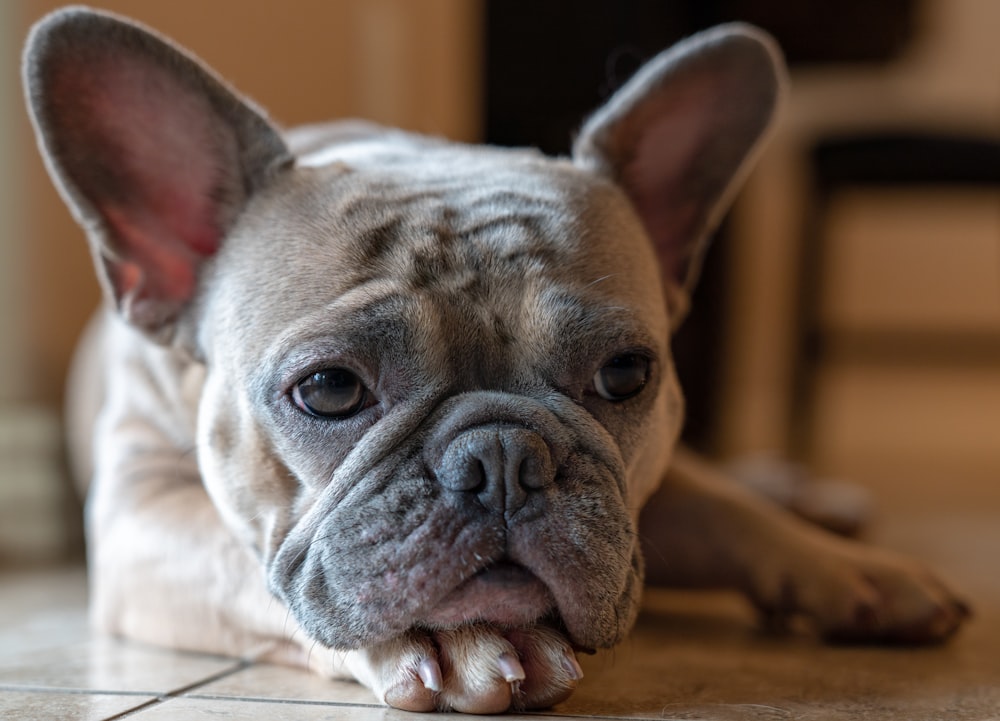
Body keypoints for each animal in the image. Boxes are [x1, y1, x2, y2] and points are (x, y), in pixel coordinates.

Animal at [23, 7, 968, 716]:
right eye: (328, 389)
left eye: (626, 374)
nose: (504, 455)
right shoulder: (142, 516)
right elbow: (252, 573)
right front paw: (455, 638)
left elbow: (729, 515)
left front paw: (858, 575)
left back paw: (814, 503)